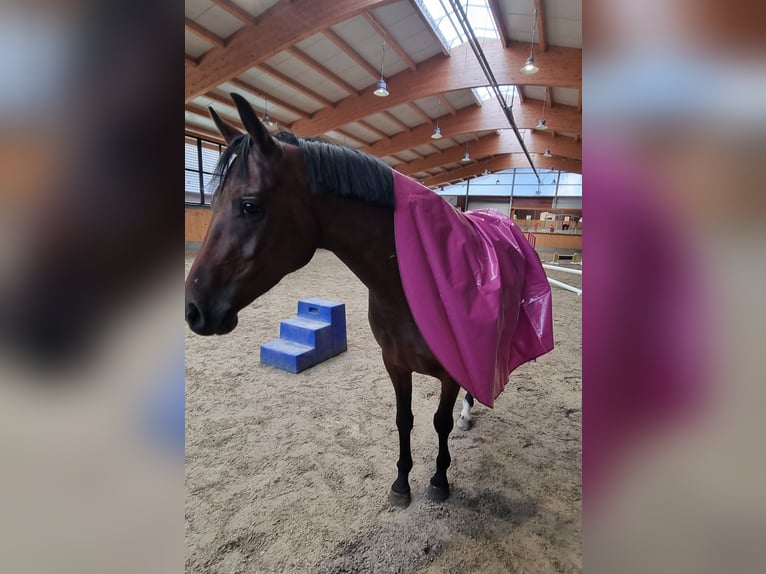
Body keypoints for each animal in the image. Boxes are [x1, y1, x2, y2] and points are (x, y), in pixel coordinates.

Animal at [183, 93, 548, 508]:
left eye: (249, 205)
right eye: (213, 202)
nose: (194, 308)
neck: (409, 285)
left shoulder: (451, 369)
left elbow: (440, 421)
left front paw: (439, 479)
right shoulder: (395, 363)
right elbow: (404, 420)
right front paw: (401, 483)